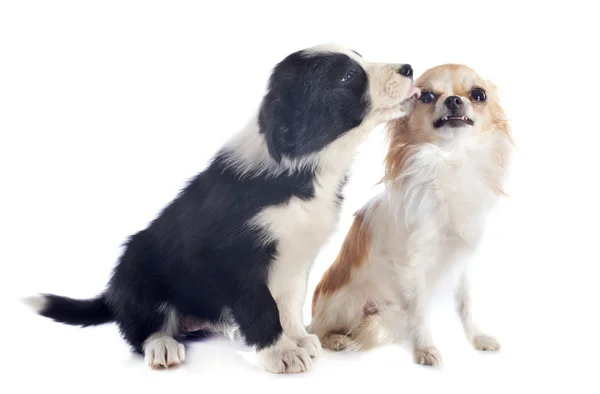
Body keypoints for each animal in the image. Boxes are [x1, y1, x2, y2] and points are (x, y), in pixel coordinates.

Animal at [24, 44, 422, 374]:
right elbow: (262, 307)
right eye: (347, 76)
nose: (409, 68)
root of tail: (112, 295)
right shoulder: (235, 259)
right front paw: (280, 353)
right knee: (142, 328)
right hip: (136, 271)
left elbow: (289, 302)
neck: (305, 168)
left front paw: (298, 338)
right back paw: (163, 346)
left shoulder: (297, 256)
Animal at [310, 63, 510, 368]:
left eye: (478, 94)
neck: (450, 160)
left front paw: (477, 338)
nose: (453, 100)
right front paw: (425, 348)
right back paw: (338, 340)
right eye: (426, 97)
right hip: (348, 302)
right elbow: (418, 310)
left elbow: (466, 304)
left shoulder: (461, 262)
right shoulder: (413, 264)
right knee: (320, 331)